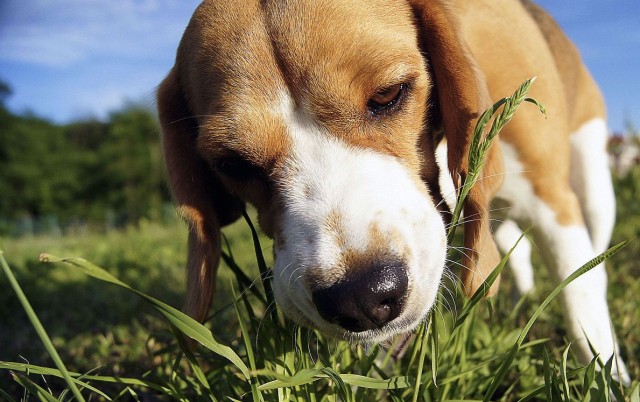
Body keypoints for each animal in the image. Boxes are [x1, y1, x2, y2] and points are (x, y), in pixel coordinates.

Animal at [158, 0, 628, 380]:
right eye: (232, 163)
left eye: (389, 94)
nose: (360, 297)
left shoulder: (553, 202)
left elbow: (580, 296)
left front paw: (607, 377)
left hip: (593, 183)